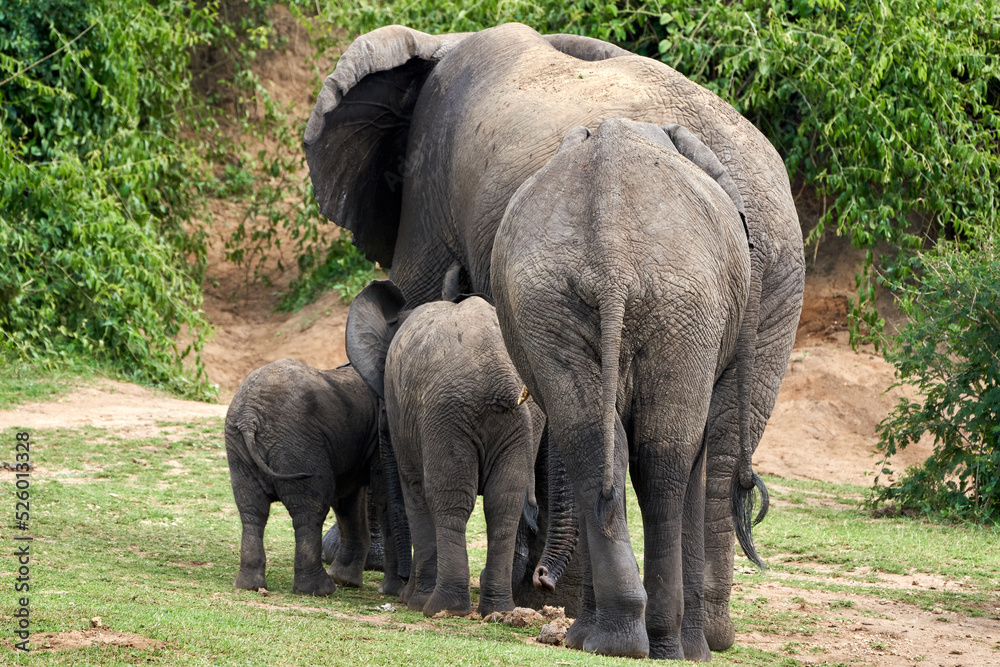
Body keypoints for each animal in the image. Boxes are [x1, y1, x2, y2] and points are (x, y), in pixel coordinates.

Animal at [225, 358, 408, 596]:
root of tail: (249, 418)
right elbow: (383, 496)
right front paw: (393, 591)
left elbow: (348, 501)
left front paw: (346, 580)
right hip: (297, 444)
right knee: (310, 510)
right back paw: (319, 590)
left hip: (240, 449)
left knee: (252, 510)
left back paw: (250, 585)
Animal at [345, 280, 558, 617]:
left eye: (383, 411)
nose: (395, 587)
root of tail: (498, 376)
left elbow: (414, 490)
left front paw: (413, 600)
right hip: (514, 425)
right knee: (503, 502)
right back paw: (497, 609)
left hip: (446, 414)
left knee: (448, 499)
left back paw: (441, 607)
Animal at [491, 118, 764, 660]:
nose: (542, 580)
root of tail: (611, 256)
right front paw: (696, 654)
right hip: (684, 310)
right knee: (665, 461)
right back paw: (660, 644)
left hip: (556, 305)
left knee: (596, 446)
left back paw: (609, 640)